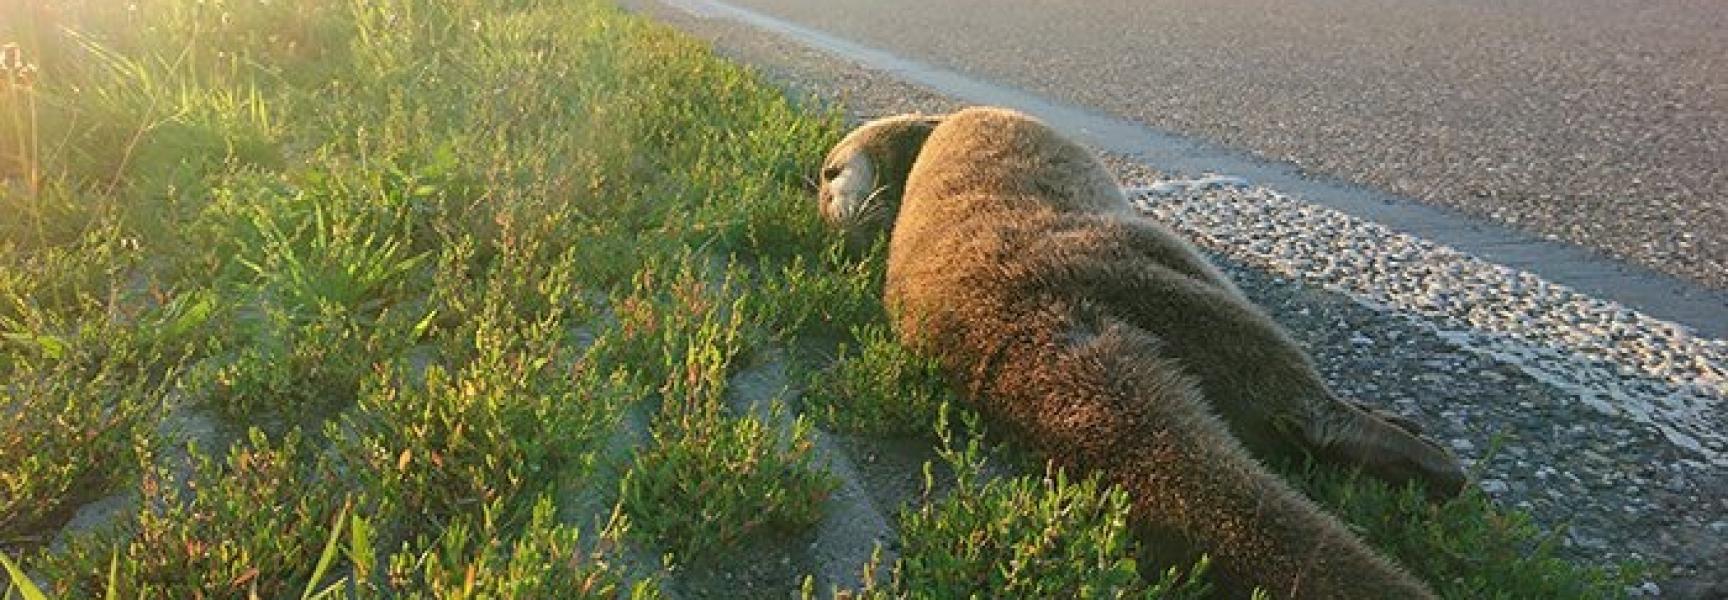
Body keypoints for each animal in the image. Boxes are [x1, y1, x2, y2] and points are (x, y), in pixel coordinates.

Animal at [817, 107, 1467, 599]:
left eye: (828, 174)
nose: (832, 206)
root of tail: (1002, 324)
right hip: (1146, 269)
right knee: (1289, 388)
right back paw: (1424, 456)